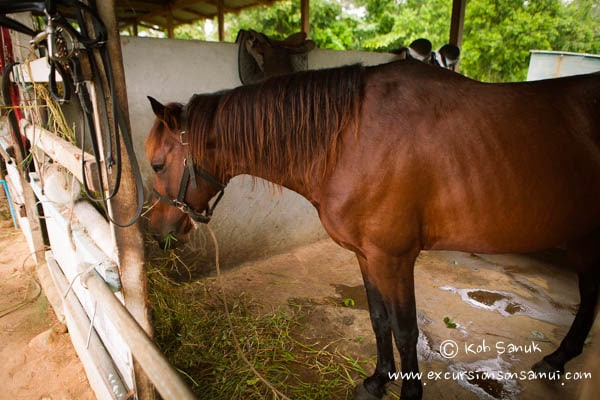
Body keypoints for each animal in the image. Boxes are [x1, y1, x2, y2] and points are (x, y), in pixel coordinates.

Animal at [145, 60, 600, 400]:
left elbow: (406, 330)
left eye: (157, 164)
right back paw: (558, 359)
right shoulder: (367, 255)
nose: (156, 231)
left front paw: (409, 392)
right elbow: (380, 321)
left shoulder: (393, 259)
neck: (351, 139)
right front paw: (378, 381)